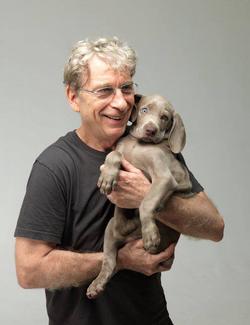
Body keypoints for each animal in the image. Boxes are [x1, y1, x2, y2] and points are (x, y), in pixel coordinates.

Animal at [86, 93, 193, 298]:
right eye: (144, 110)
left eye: (165, 117)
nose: (151, 130)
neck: (138, 144)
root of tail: (128, 239)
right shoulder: (120, 151)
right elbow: (114, 154)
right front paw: (107, 176)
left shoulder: (167, 176)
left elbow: (146, 203)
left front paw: (150, 234)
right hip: (110, 229)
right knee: (110, 261)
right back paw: (97, 284)